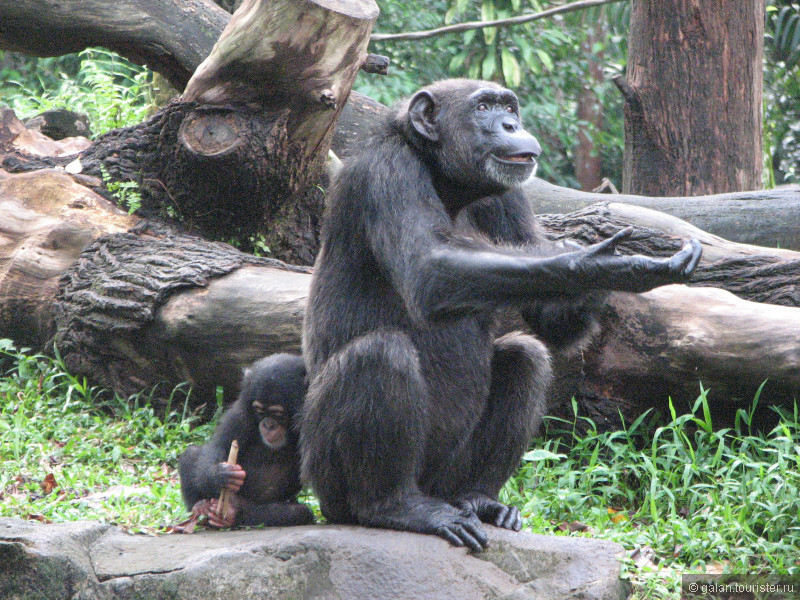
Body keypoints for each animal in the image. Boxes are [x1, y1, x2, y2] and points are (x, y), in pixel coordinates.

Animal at [180, 354, 314, 528]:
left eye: (278, 414)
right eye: (259, 411)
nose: (268, 425)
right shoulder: (241, 413)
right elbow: (220, 446)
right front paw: (221, 475)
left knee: (300, 512)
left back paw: (233, 512)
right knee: (191, 453)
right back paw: (200, 507)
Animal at [300, 77, 700, 552]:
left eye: (509, 107)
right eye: (484, 107)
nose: (510, 124)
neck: (447, 183)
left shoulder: (509, 197)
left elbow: (548, 322)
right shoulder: (386, 172)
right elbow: (428, 268)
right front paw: (594, 261)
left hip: (445, 475)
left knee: (527, 357)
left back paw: (480, 500)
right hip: (324, 478)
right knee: (381, 355)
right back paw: (395, 507)